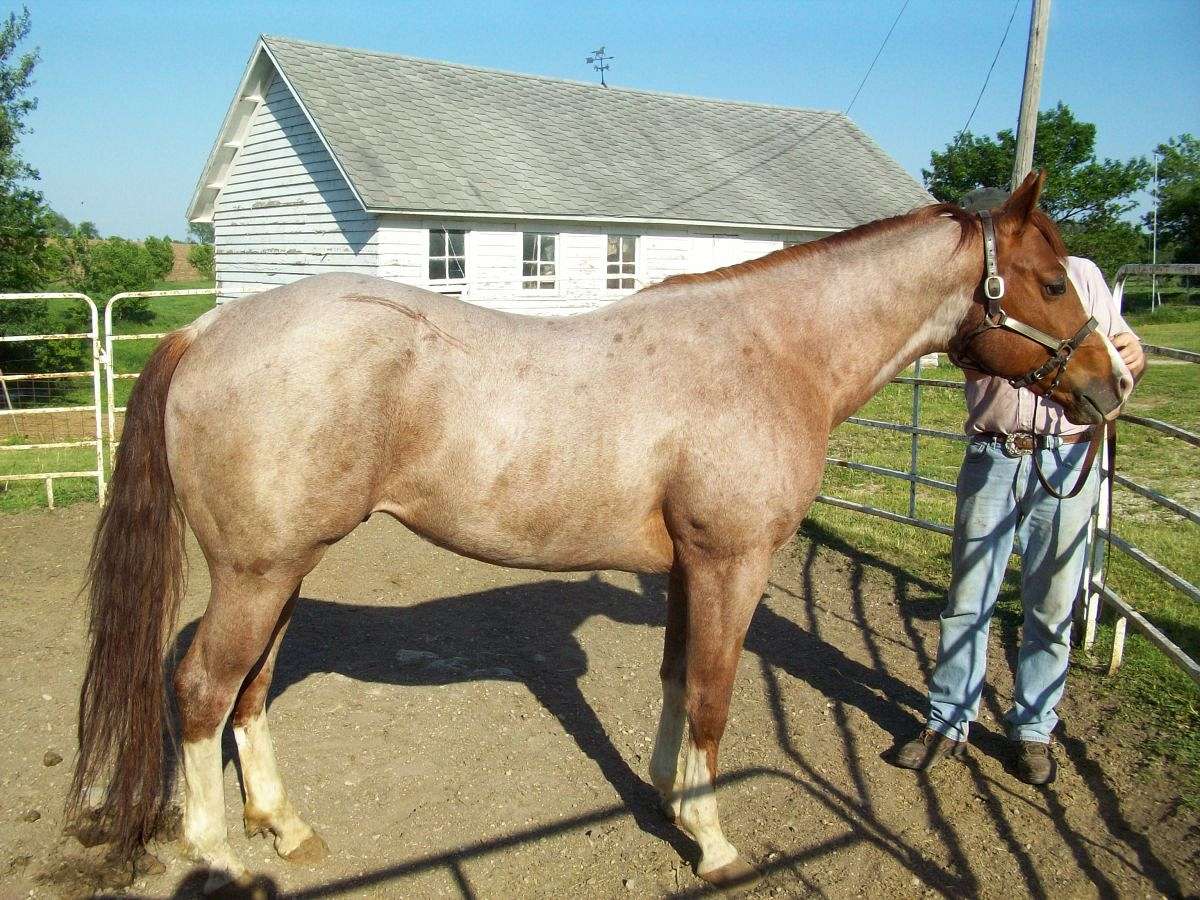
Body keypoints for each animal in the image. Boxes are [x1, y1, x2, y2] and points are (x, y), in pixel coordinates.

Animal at [72, 172, 1123, 892]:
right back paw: (218, 858)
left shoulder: (689, 571)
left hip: (281, 570)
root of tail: (209, 332)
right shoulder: (732, 565)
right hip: (257, 572)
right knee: (202, 691)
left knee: (248, 691)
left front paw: (670, 799)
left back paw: (284, 827)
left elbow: (676, 681)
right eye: (1050, 283)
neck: (771, 351)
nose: (1112, 385)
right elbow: (713, 699)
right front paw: (715, 843)